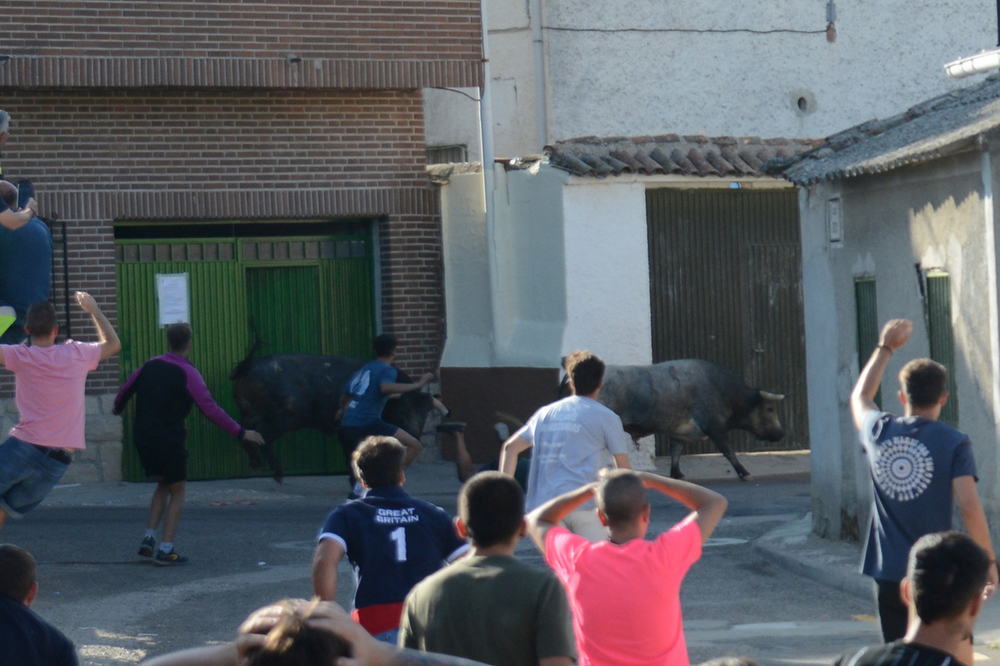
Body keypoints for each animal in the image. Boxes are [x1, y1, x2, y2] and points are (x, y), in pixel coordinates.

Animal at [230, 350, 446, 480]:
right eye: (402, 411)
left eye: (425, 416)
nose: (414, 435)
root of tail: (250, 364)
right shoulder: (345, 435)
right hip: (285, 418)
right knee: (264, 438)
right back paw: (277, 472)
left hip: (253, 413)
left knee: (243, 433)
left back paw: (256, 464)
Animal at [592, 358, 780, 478]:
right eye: (770, 409)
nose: (781, 433)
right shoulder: (716, 428)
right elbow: (728, 450)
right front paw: (744, 472)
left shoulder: (679, 431)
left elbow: (676, 451)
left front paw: (677, 473)